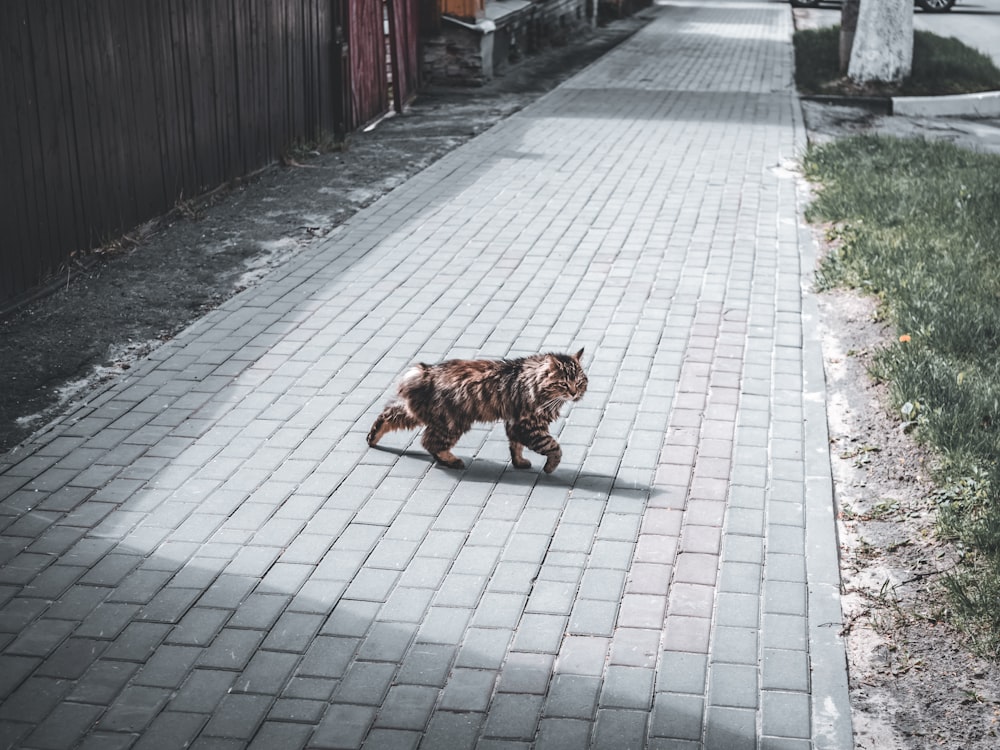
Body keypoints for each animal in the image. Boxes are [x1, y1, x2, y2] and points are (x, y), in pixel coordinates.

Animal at [368, 350, 584, 472]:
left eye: (580, 382)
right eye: (564, 384)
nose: (574, 393)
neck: (534, 380)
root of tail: (426, 373)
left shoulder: (515, 423)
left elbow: (516, 446)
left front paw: (519, 462)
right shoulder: (530, 425)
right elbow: (554, 447)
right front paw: (550, 467)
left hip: (421, 414)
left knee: (389, 416)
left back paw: (373, 437)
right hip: (452, 423)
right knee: (430, 442)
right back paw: (453, 461)